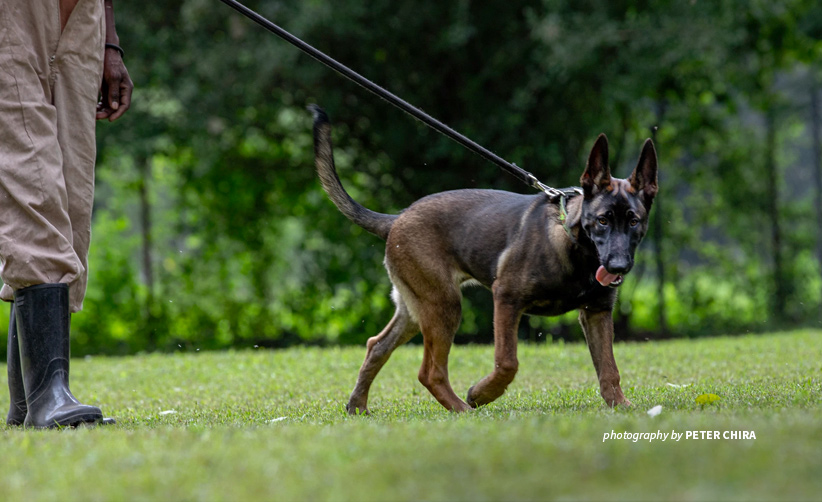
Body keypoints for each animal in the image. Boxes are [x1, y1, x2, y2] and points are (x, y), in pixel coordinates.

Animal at [310, 105, 664, 412]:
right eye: (602, 220)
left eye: (634, 221)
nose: (618, 266)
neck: (575, 246)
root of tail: (396, 219)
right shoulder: (506, 298)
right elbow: (507, 362)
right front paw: (482, 393)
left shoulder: (597, 313)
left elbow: (609, 368)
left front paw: (620, 406)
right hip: (444, 306)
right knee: (429, 372)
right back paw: (462, 409)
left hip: (415, 307)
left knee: (376, 346)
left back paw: (357, 405)